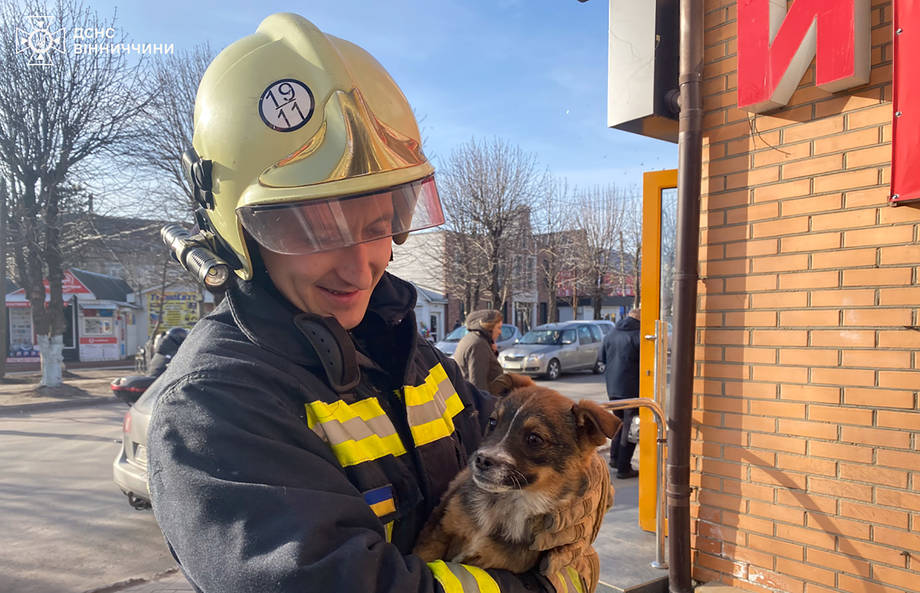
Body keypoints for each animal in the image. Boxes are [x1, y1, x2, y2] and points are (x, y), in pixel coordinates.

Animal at [416, 386, 620, 572]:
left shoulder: (495, 559)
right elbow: (424, 554)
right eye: (492, 422)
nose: (481, 460)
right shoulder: (438, 532)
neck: (508, 503)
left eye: (534, 439)